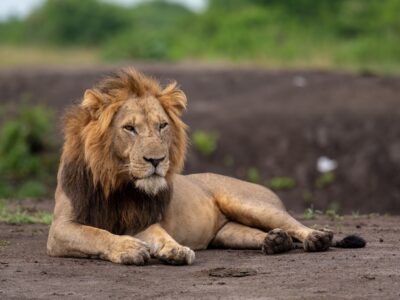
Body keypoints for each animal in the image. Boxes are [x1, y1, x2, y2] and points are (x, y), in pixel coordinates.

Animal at [47, 68, 366, 264]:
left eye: (162, 126)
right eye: (129, 128)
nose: (156, 160)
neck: (118, 182)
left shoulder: (141, 220)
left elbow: (158, 234)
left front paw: (175, 248)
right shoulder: (61, 229)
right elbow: (97, 234)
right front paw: (130, 247)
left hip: (250, 203)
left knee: (294, 225)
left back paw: (316, 237)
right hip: (228, 233)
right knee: (262, 235)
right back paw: (276, 242)